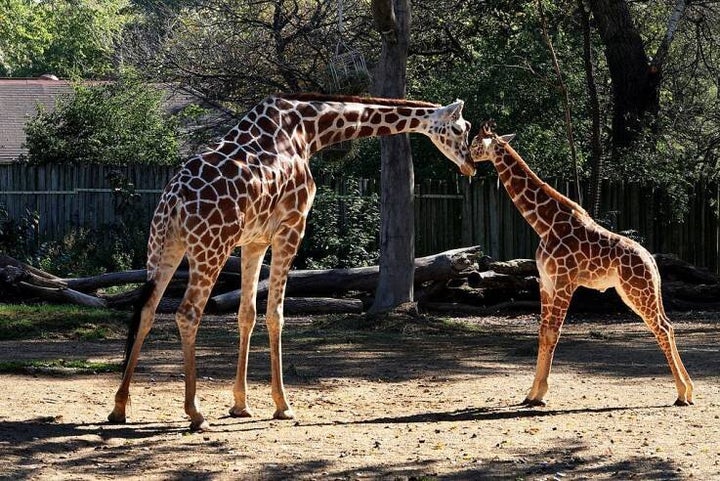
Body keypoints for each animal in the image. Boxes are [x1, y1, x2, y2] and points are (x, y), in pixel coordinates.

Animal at [107, 92, 478, 430]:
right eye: (462, 129)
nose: (470, 165)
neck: (310, 130)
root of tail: (173, 200)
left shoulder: (254, 240)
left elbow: (246, 314)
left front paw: (240, 405)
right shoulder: (292, 226)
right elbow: (276, 315)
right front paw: (283, 405)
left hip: (164, 246)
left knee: (146, 310)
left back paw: (120, 408)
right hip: (211, 246)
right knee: (187, 313)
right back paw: (195, 413)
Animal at [470, 122, 696, 406]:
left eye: (475, 143)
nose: (468, 160)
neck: (544, 224)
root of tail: (652, 262)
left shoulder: (564, 281)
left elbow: (552, 333)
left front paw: (540, 394)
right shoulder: (545, 283)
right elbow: (542, 332)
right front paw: (531, 393)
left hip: (637, 290)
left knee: (662, 327)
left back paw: (682, 394)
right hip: (639, 291)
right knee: (668, 324)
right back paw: (689, 390)